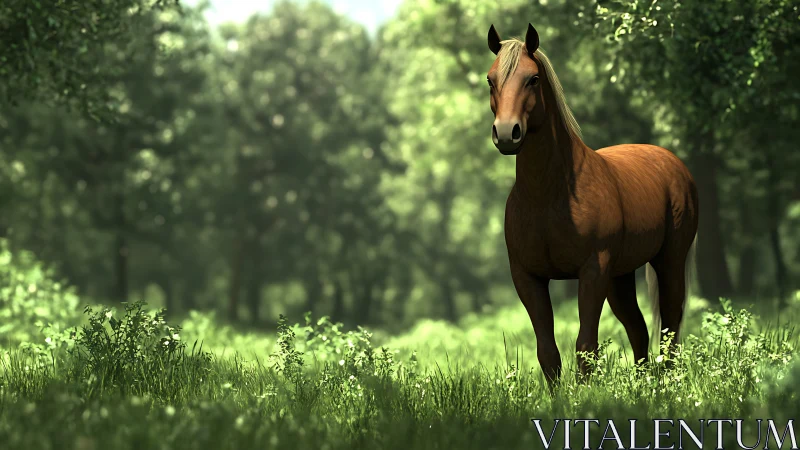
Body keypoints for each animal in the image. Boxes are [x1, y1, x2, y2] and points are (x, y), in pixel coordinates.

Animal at [486, 23, 699, 385]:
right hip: (621, 275)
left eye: (533, 79)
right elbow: (548, 353)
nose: (505, 133)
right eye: (490, 79)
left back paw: (667, 382)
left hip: (668, 259)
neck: (549, 195)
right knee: (638, 328)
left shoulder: (593, 271)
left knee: (669, 325)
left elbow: (586, 347)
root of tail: (671, 162)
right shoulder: (527, 277)